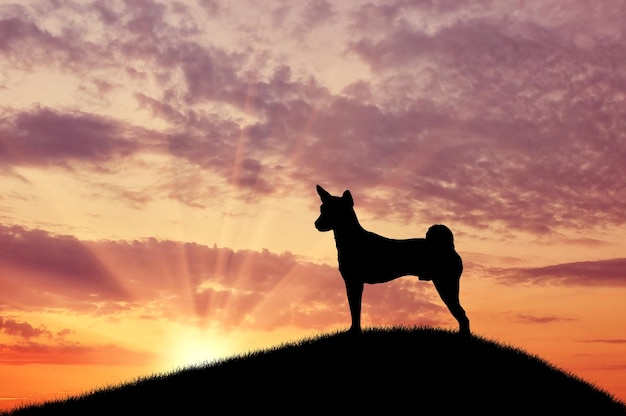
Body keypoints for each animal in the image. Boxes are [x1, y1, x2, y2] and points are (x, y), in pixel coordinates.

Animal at [314, 185, 466, 334]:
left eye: (332, 211)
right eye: (322, 209)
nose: (316, 223)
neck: (352, 239)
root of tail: (448, 246)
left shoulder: (354, 282)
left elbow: (355, 309)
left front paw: (354, 331)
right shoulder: (353, 283)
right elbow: (355, 309)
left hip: (446, 285)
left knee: (462, 315)